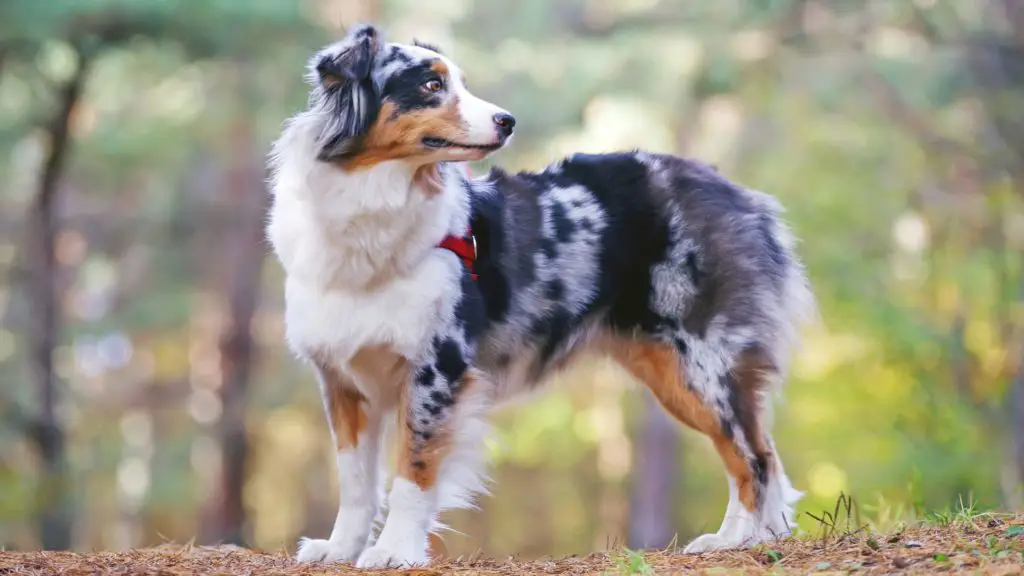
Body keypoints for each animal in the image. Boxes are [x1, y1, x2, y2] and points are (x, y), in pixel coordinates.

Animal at [264, 24, 815, 565]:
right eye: (431, 84)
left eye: (460, 83)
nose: (507, 121)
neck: (372, 202)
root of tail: (741, 195)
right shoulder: (342, 377)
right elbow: (356, 480)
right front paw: (341, 548)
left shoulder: (437, 368)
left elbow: (413, 470)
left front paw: (394, 551)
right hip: (670, 369)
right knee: (758, 452)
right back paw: (751, 537)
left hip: (702, 362)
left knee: (754, 455)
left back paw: (736, 541)